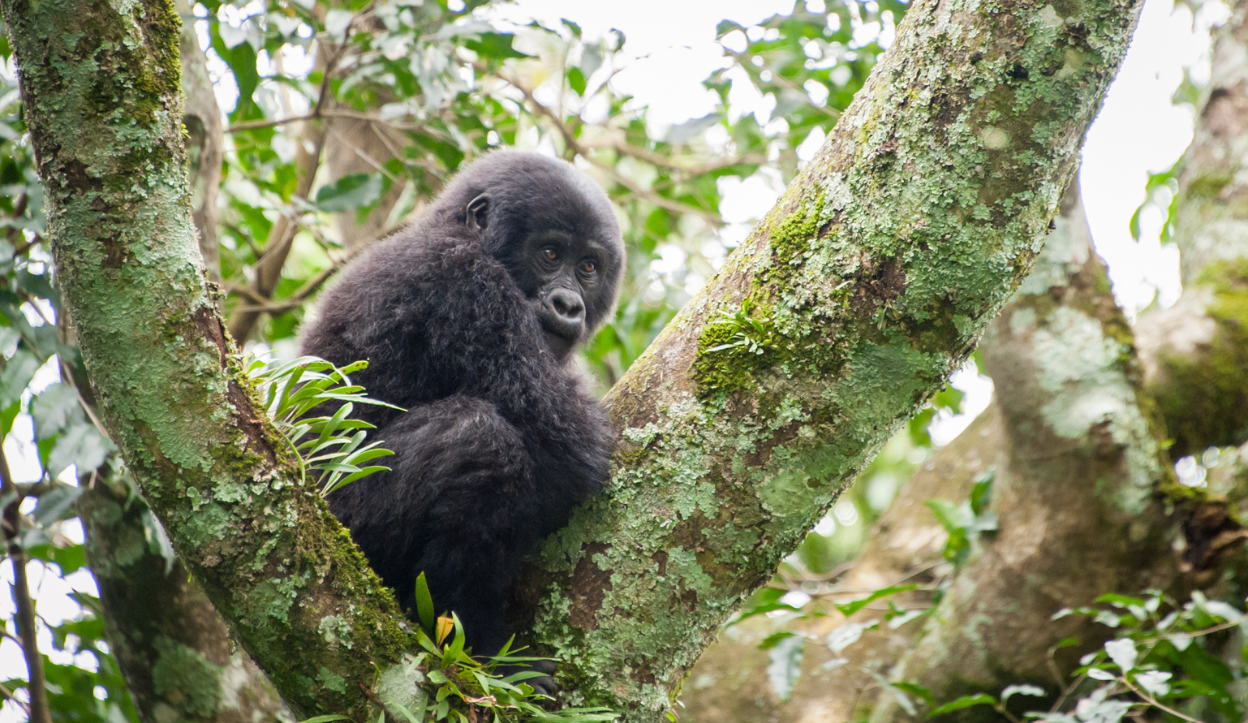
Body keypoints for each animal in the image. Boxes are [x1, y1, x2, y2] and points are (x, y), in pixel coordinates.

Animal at [298, 152, 619, 664]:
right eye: (550, 254)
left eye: (589, 266)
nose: (569, 304)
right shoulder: (466, 285)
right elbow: (570, 448)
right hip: (345, 525)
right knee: (478, 441)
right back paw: (474, 647)